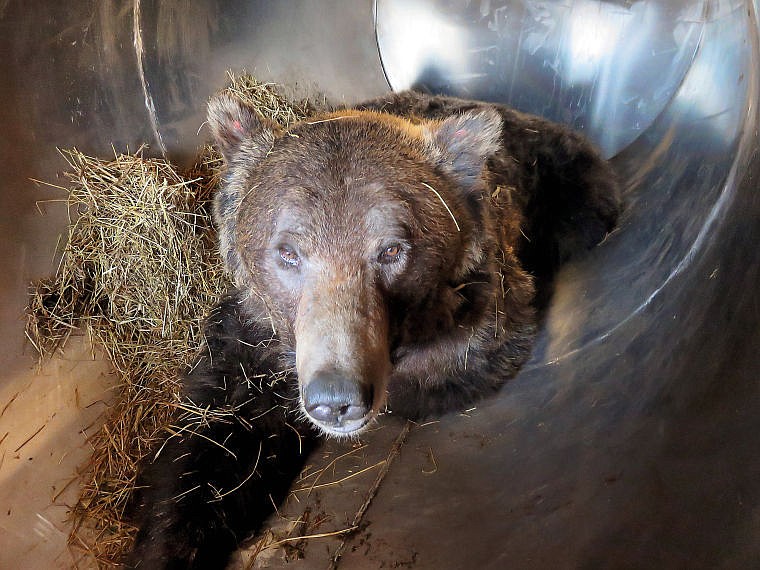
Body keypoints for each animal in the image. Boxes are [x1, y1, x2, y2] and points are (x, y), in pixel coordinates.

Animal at [125, 90, 620, 569]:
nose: (335, 396)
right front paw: (165, 544)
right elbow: (209, 443)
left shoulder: (484, 316)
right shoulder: (250, 346)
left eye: (391, 250)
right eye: (287, 252)